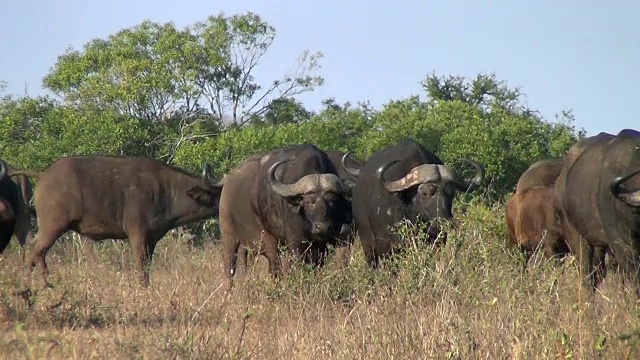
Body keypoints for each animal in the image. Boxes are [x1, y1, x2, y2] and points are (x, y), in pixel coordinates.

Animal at [9, 156, 225, 286]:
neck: (168, 191)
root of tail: (44, 175)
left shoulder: (152, 239)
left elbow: (148, 264)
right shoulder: (138, 235)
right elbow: (142, 265)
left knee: (33, 249)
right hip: (53, 227)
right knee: (36, 249)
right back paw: (44, 281)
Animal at [220, 144, 356, 278]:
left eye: (332, 200)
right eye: (307, 201)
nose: (322, 227)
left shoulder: (327, 242)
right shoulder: (295, 242)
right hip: (233, 237)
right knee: (233, 268)